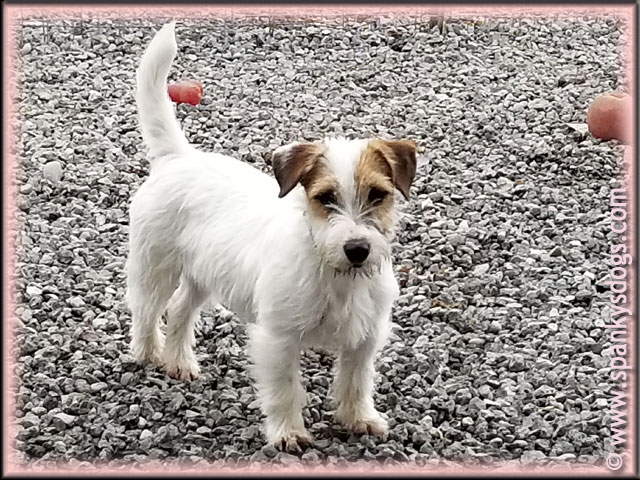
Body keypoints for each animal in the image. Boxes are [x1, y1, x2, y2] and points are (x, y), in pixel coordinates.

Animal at [129, 21, 420, 450]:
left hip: (204, 273)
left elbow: (356, 381)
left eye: (378, 195)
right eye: (325, 198)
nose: (358, 249)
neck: (331, 271)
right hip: (156, 268)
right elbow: (285, 389)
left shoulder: (364, 337)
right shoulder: (279, 340)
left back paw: (178, 361)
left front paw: (359, 419)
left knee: (181, 309)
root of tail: (179, 158)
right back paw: (148, 353)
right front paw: (288, 432)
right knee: (146, 312)